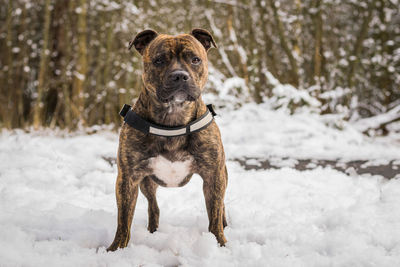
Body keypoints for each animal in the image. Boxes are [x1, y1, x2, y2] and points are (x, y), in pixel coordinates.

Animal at [107, 29, 228, 253]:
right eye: (159, 60)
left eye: (195, 59)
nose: (179, 75)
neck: (173, 119)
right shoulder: (128, 178)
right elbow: (124, 219)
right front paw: (116, 249)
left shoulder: (214, 175)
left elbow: (214, 214)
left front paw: (219, 244)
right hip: (146, 183)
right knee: (153, 207)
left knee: (221, 205)